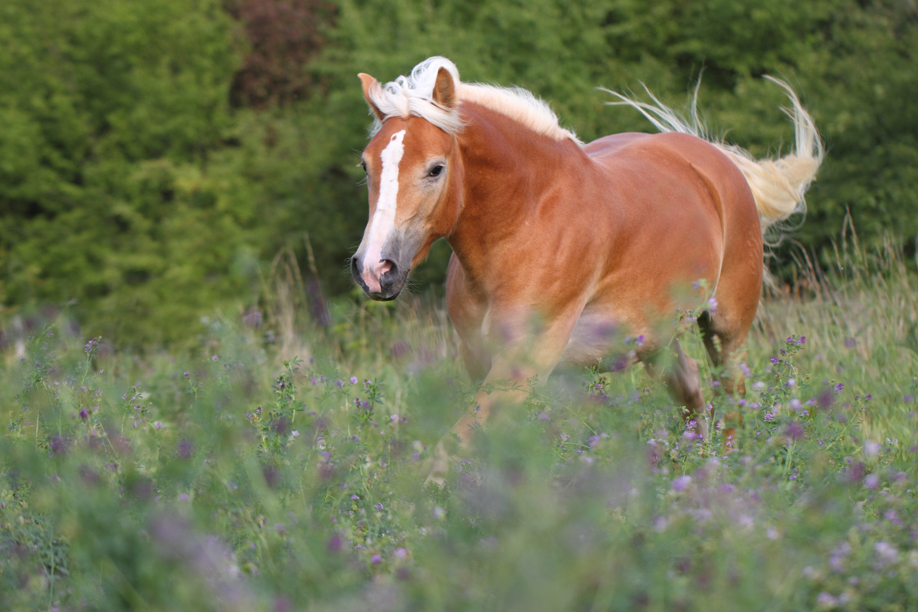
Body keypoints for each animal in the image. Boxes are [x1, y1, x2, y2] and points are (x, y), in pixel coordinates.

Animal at [348, 57, 824, 482]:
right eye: (367, 164)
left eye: (435, 168)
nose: (375, 269)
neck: (525, 221)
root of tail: (716, 160)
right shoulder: (478, 361)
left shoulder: (520, 368)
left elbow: (450, 453)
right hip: (656, 339)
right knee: (690, 388)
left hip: (727, 329)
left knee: (733, 397)